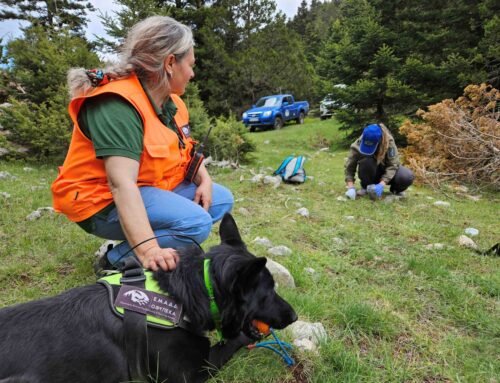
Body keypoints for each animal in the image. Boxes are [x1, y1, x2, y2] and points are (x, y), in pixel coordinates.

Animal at [0, 214, 296, 382]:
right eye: (269, 291)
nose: (294, 316)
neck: (191, 291)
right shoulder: (191, 374)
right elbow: (230, 342)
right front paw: (243, 337)